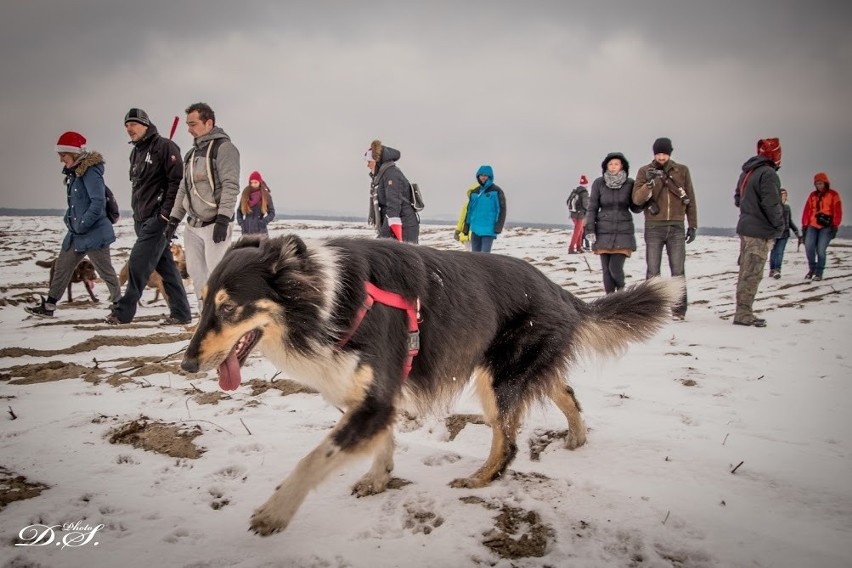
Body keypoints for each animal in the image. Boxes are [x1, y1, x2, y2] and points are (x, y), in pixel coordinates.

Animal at [183, 233, 684, 536]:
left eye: (228, 308)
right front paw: (379, 478)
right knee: (564, 391)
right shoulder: (374, 395)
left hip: (497, 377)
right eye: (203, 302)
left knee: (509, 441)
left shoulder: (374, 397)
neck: (326, 301)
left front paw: (275, 512)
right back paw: (577, 437)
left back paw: (481, 479)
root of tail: (560, 291)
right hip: (516, 369)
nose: (187, 364)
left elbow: (313, 458)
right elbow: (381, 440)